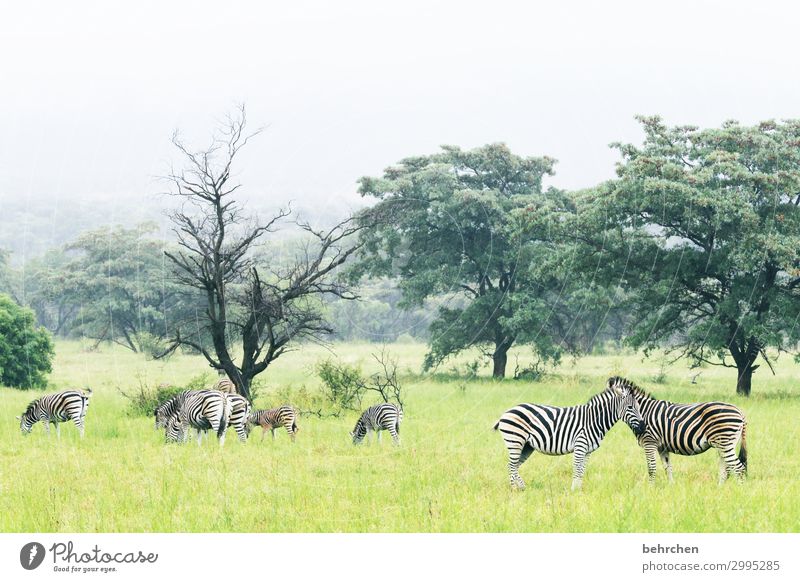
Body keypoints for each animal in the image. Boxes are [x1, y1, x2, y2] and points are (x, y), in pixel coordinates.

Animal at [490, 380, 648, 490]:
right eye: (630, 407)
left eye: (639, 407)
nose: (643, 427)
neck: (594, 419)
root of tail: (507, 411)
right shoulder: (580, 446)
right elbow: (577, 469)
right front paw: (573, 491)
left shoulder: (588, 451)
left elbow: (582, 470)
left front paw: (579, 490)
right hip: (515, 441)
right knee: (511, 465)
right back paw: (517, 488)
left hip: (526, 446)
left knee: (514, 466)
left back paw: (518, 488)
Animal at [612, 376, 752, 486]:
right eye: (631, 407)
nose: (642, 427)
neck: (644, 412)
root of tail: (740, 412)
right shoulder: (662, 447)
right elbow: (668, 468)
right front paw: (671, 487)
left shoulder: (649, 442)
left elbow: (651, 468)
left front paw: (650, 489)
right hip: (724, 444)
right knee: (726, 469)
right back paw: (720, 490)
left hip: (725, 442)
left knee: (739, 468)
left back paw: (740, 492)